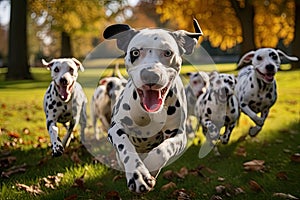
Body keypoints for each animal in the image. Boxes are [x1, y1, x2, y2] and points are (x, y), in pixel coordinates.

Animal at [102, 19, 203, 193]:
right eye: (135, 52)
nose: (150, 74)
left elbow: (163, 151)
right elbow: (125, 146)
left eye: (168, 53)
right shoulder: (116, 128)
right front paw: (138, 174)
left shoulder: (179, 135)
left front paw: (150, 166)